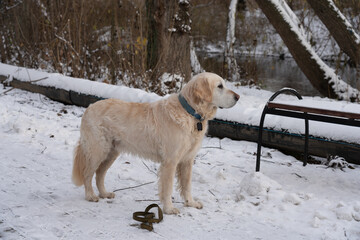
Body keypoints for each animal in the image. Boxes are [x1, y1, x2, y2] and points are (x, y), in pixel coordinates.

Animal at [71, 71, 239, 214]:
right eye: (220, 86)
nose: (238, 97)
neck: (190, 113)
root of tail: (89, 108)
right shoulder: (170, 161)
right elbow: (168, 188)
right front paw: (169, 209)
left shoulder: (187, 160)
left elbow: (187, 186)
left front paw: (190, 203)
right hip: (98, 151)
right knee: (88, 174)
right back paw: (91, 195)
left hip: (111, 152)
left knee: (99, 174)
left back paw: (104, 193)